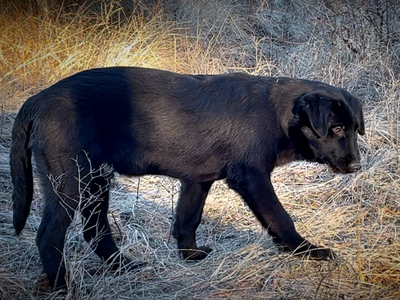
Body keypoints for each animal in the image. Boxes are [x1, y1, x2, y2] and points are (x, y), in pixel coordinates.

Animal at [10, 67, 366, 290]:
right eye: (336, 128)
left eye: (353, 129)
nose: (356, 166)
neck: (277, 113)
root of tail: (35, 102)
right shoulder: (251, 176)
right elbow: (280, 217)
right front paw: (306, 251)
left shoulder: (198, 178)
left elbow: (187, 218)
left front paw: (190, 256)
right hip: (69, 178)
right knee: (49, 235)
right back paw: (63, 285)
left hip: (97, 178)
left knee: (95, 229)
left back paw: (126, 266)